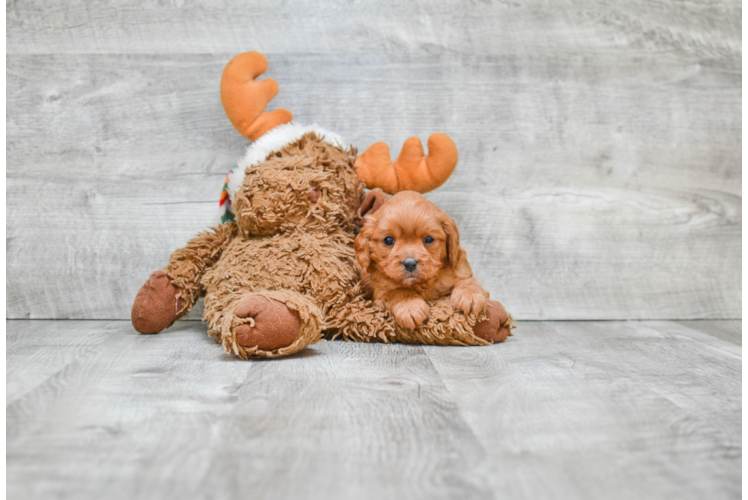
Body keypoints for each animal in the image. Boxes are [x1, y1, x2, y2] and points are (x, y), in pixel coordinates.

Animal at [354, 190, 488, 328]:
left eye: (428, 239)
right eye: (388, 240)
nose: (410, 263)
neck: (420, 284)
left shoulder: (460, 269)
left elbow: (469, 280)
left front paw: (469, 295)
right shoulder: (379, 294)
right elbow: (397, 292)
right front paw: (409, 306)